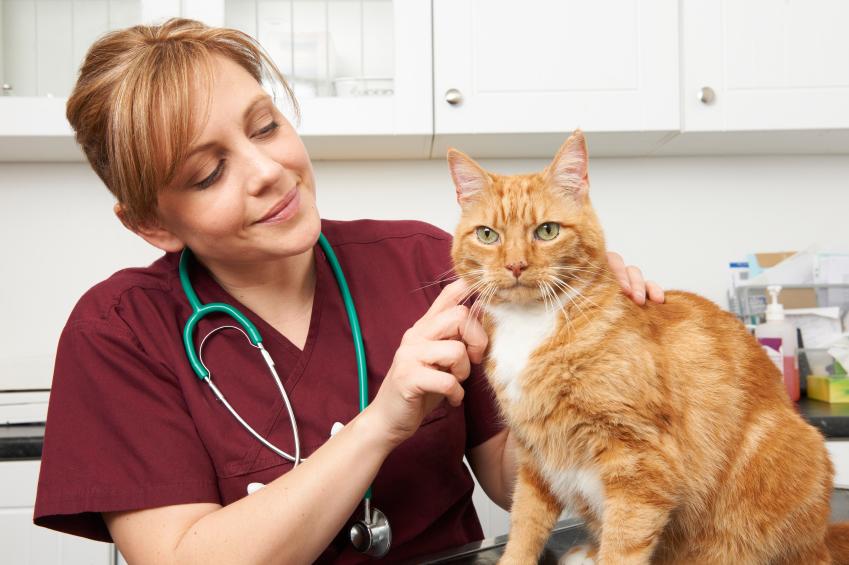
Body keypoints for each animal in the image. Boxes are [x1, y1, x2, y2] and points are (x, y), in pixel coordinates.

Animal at [448, 130, 844, 560]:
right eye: (488, 235)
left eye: (547, 231)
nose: (515, 265)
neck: (532, 324)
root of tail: (824, 538)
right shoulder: (536, 459)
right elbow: (524, 525)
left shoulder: (640, 460)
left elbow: (622, 546)